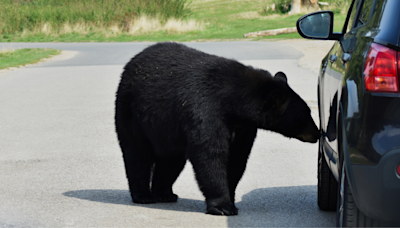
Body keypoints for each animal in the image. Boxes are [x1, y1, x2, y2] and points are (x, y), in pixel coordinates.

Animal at [115, 42, 318, 216]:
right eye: (305, 114)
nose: (317, 133)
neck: (234, 102)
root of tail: (132, 62)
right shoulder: (205, 109)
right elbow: (210, 154)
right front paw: (223, 207)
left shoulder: (244, 128)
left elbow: (237, 158)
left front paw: (232, 201)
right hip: (131, 113)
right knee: (137, 155)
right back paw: (143, 195)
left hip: (168, 131)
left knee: (171, 161)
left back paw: (164, 194)